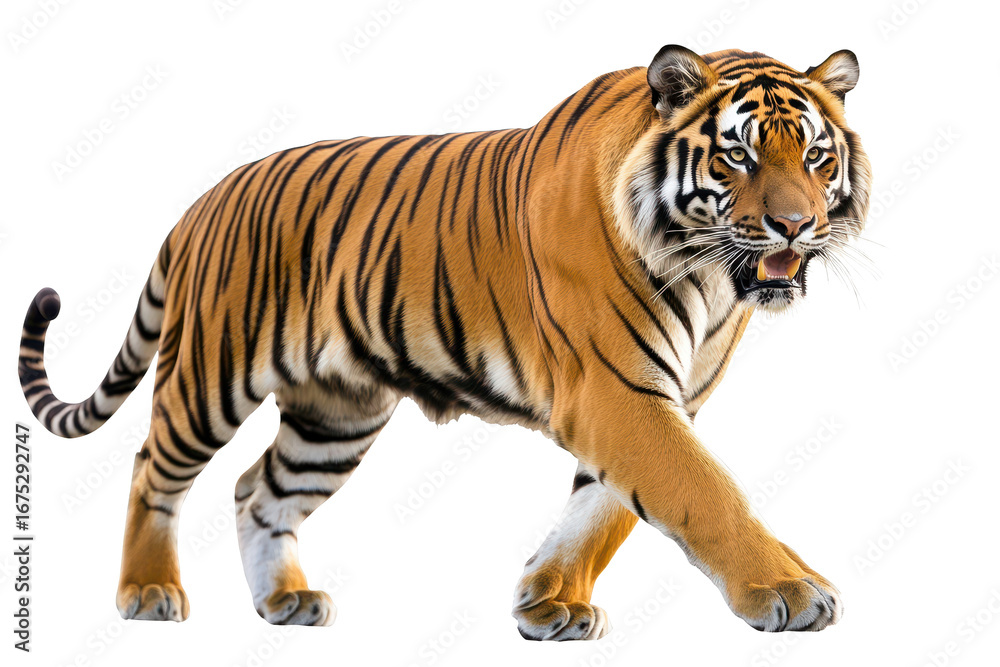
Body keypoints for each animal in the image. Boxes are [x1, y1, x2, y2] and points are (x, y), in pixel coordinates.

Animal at [18, 45, 871, 639]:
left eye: (815, 155)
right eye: (739, 154)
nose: (795, 225)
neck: (708, 275)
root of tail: (200, 201)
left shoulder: (661, 400)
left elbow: (601, 513)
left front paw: (547, 602)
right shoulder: (617, 391)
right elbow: (705, 492)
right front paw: (791, 590)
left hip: (336, 416)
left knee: (258, 489)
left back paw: (284, 600)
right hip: (210, 375)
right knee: (151, 469)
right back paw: (147, 592)